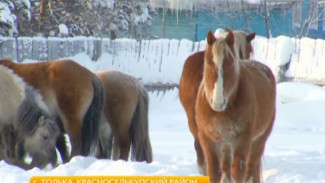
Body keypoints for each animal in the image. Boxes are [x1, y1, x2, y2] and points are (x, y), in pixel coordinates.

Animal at [194, 30, 274, 182]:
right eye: (208, 62)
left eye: (230, 63)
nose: (218, 102)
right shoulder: (208, 140)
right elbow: (214, 171)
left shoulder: (242, 139)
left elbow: (238, 171)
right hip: (226, 146)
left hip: (258, 140)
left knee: (251, 168)